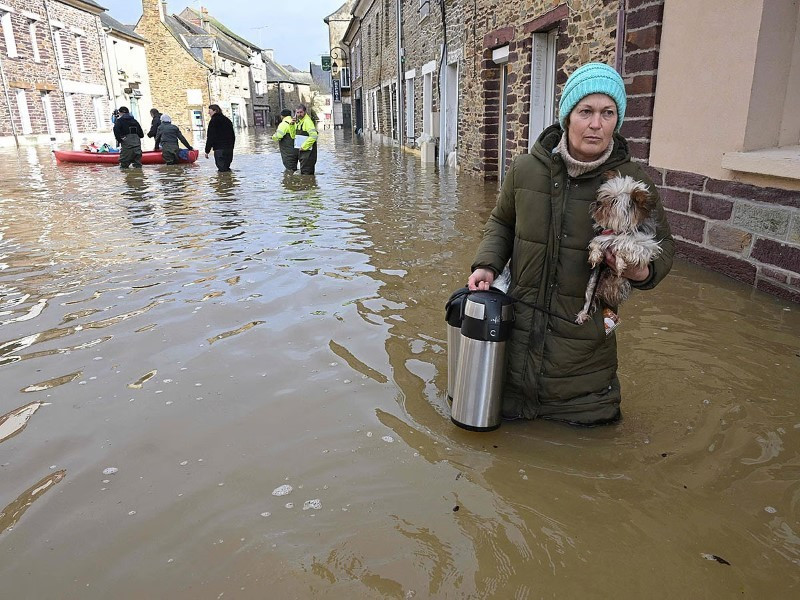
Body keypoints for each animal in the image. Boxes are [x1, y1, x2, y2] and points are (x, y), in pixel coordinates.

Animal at [576, 171, 664, 326]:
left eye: (613, 202)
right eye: (604, 195)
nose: (598, 203)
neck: (618, 229)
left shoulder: (647, 245)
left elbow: (624, 243)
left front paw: (619, 261)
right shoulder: (603, 235)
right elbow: (597, 241)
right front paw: (595, 255)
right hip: (592, 284)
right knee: (588, 299)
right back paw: (582, 314)